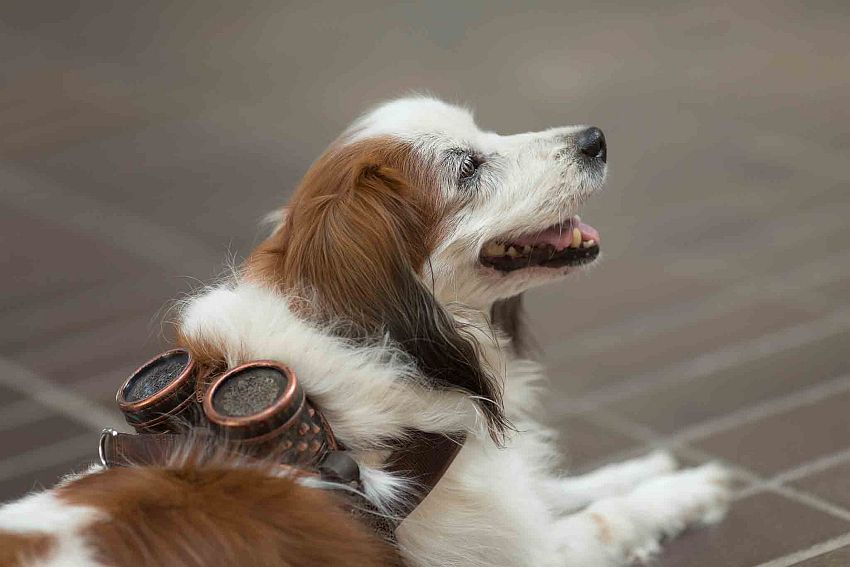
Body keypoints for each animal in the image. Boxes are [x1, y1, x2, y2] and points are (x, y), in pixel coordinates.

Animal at [0, 95, 728, 564]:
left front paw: (647, 466)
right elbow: (606, 518)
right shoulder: (521, 550)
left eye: (485, 135)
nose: (594, 138)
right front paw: (686, 490)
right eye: (468, 167)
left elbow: (561, 484)